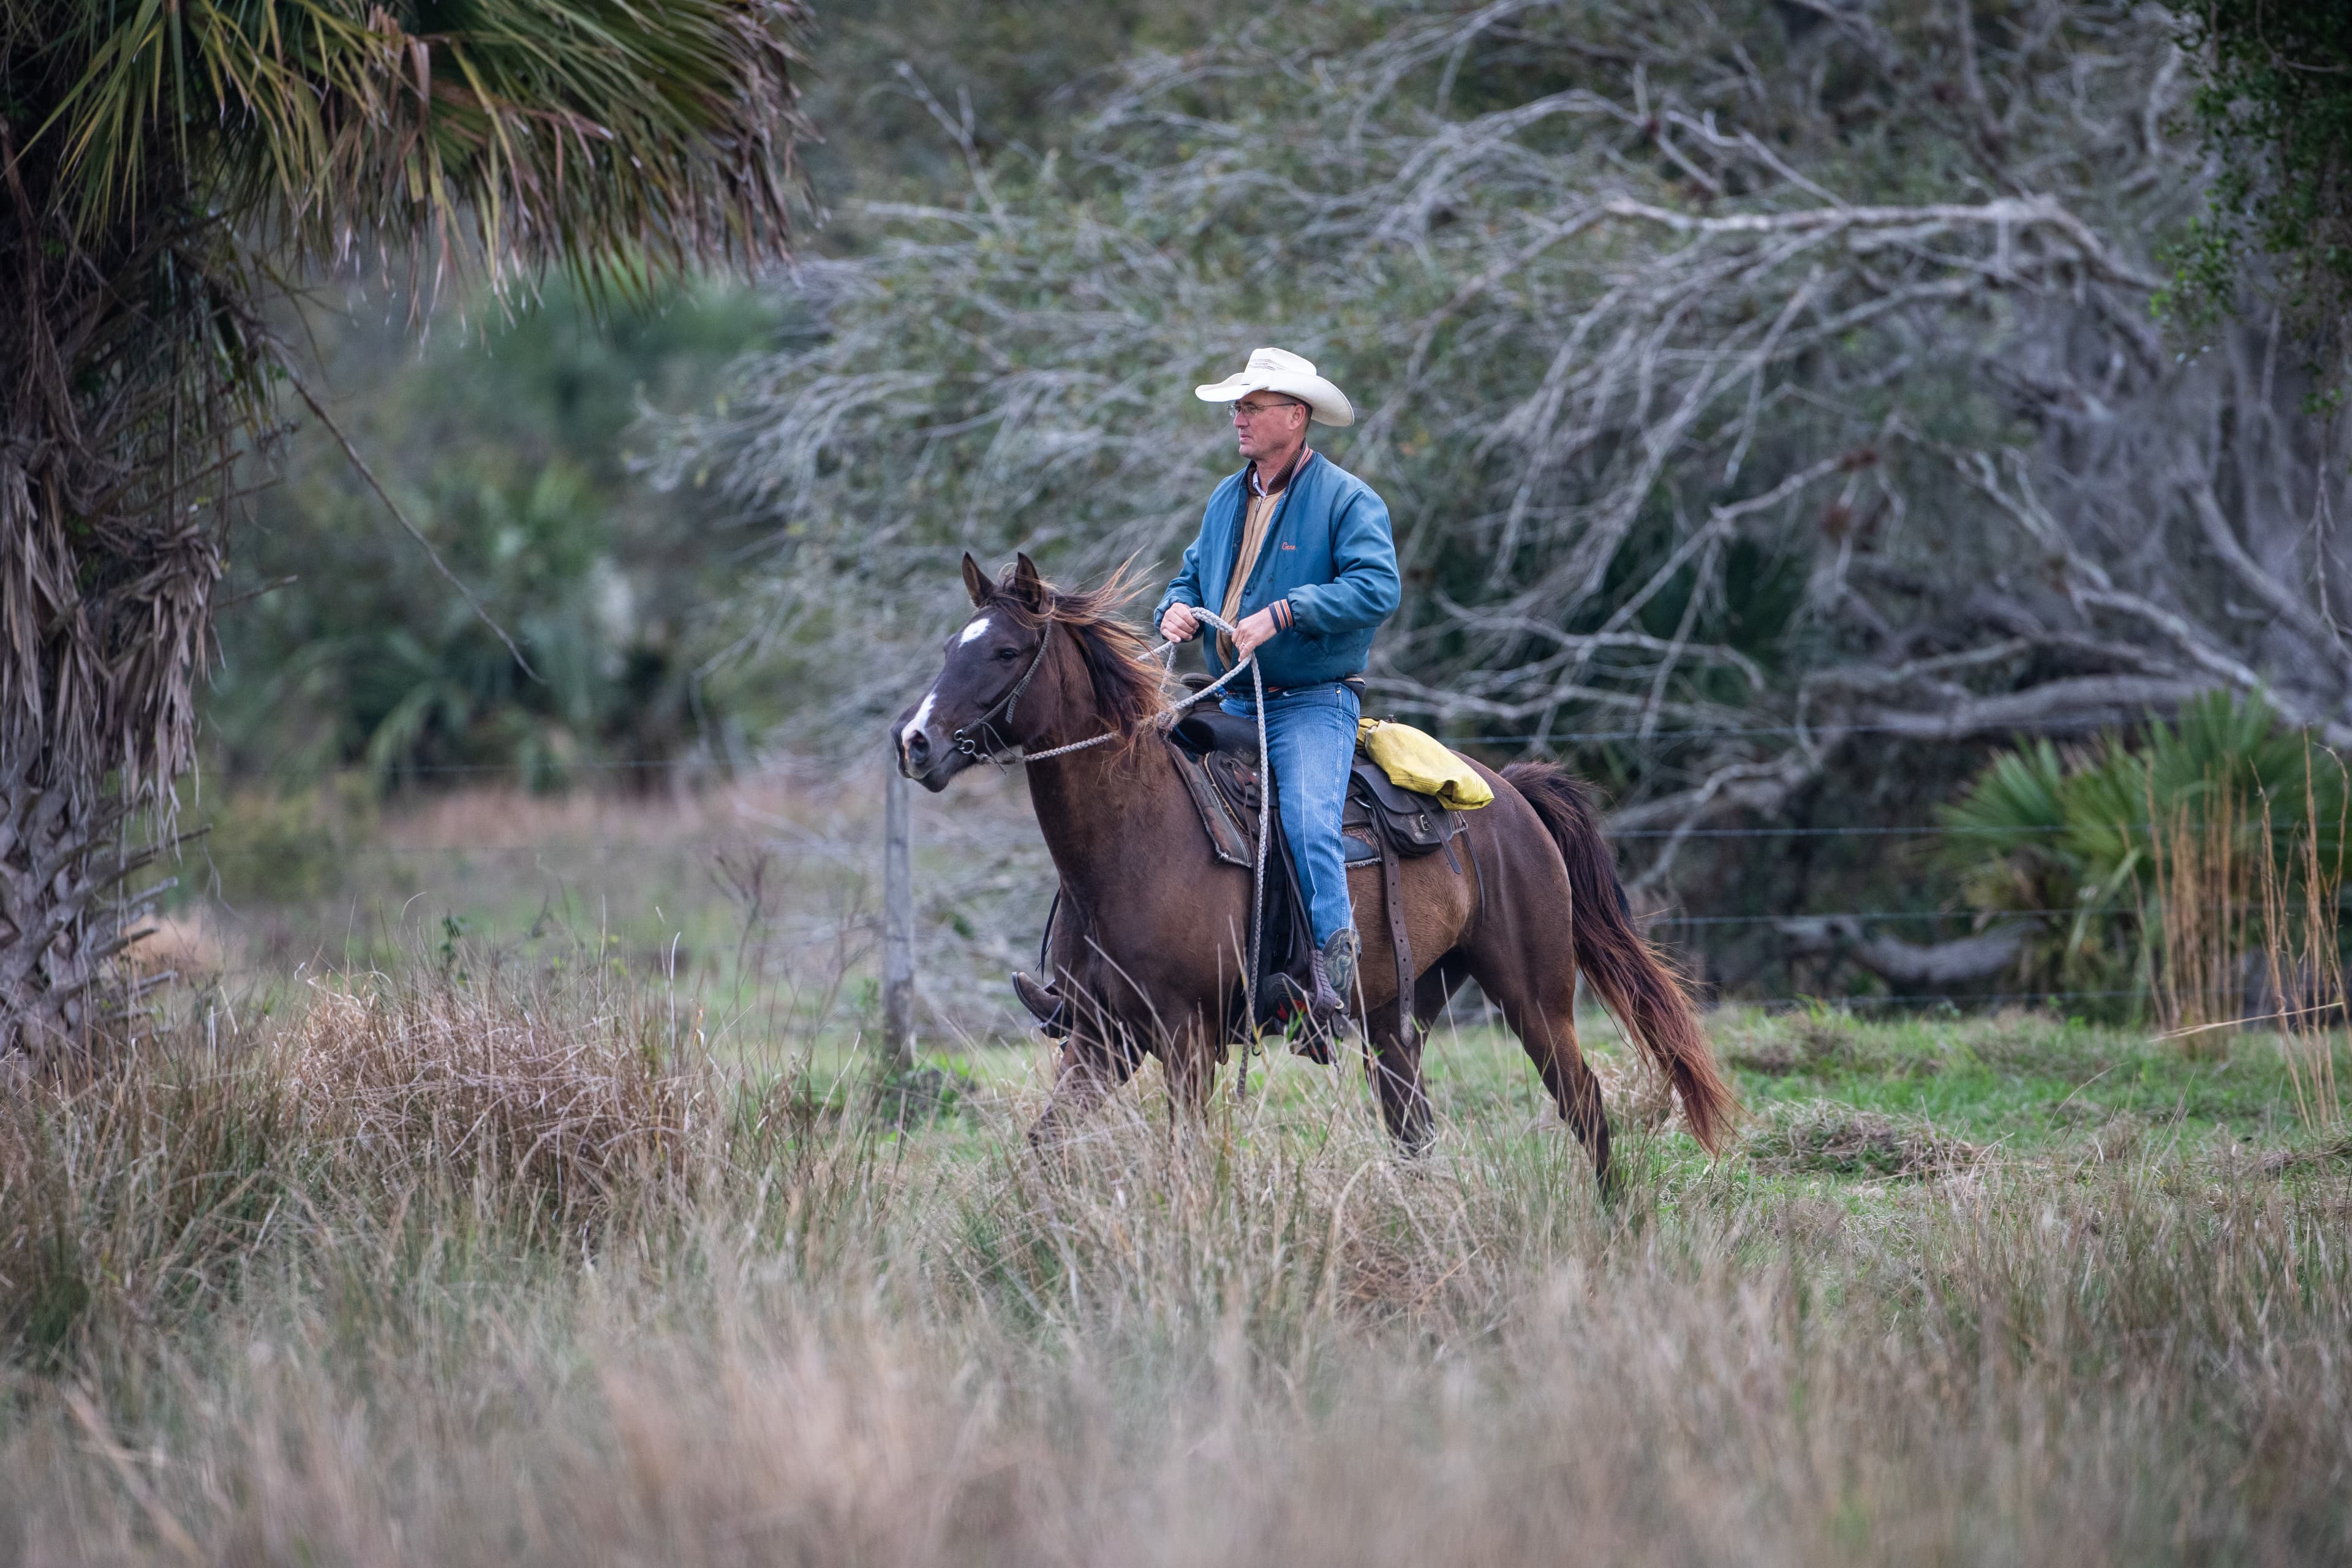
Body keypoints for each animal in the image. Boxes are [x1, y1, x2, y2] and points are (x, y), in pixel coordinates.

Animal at [889, 557, 1740, 1185]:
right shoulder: (1102, 1039)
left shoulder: (1187, 1038)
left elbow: (1184, 1158)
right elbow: (1044, 1147)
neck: (1131, 840)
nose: (915, 743)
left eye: (1004, 651)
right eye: (948, 649)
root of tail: (1512, 797)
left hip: (1536, 995)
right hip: (1397, 1017)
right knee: (1413, 1128)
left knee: (1584, 1105)